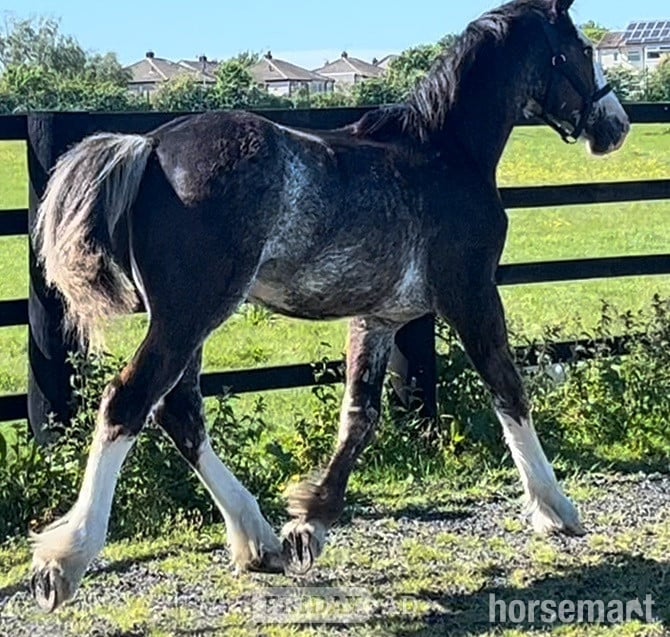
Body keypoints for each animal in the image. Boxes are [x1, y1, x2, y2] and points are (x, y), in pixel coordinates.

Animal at [29, 0, 629, 612]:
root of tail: (149, 147)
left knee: (178, 412)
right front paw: (557, 510)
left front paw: (308, 523)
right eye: (582, 48)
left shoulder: (380, 317)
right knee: (129, 403)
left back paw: (258, 539)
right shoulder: (472, 295)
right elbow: (509, 390)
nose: (616, 125)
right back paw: (65, 560)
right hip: (191, 315)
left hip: (186, 321)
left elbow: (360, 417)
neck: (447, 151)